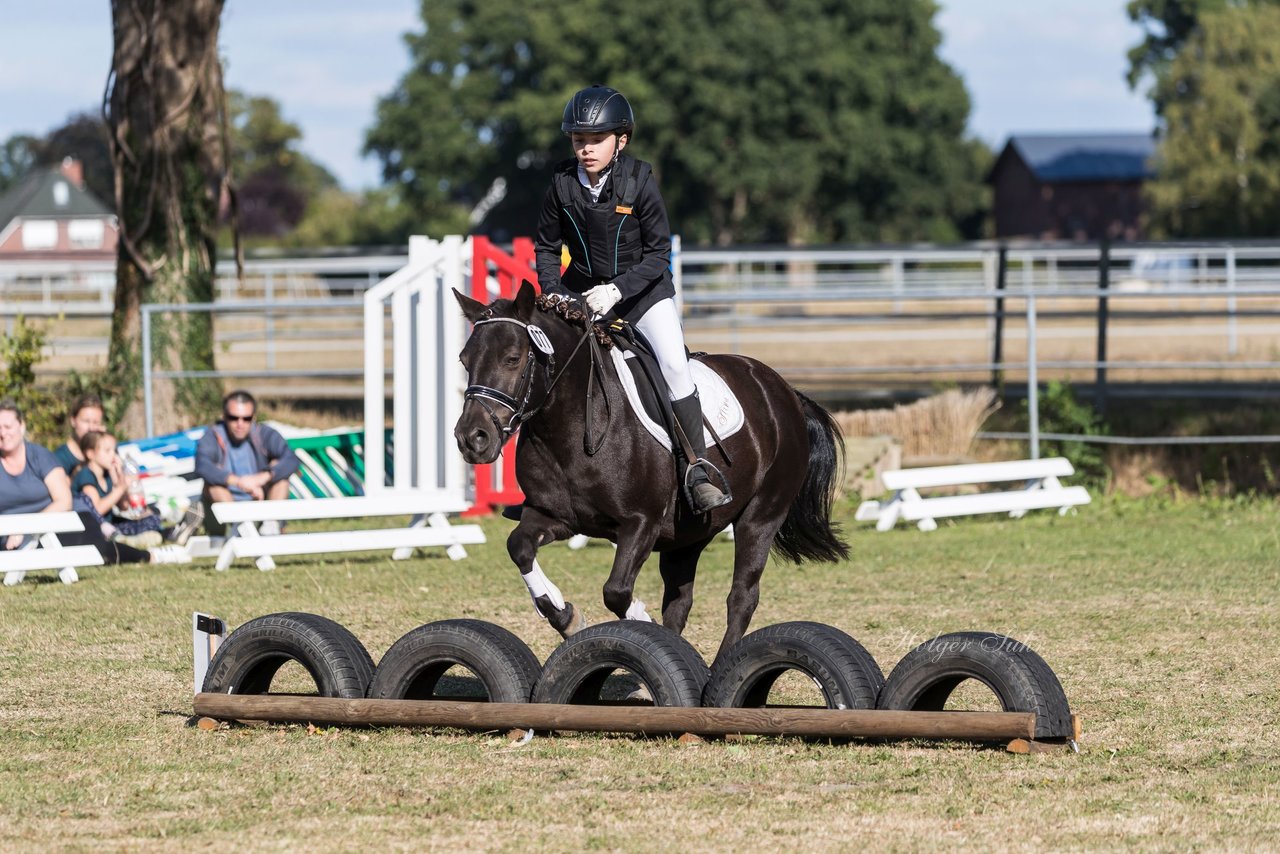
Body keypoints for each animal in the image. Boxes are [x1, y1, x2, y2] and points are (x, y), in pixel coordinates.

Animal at [453, 284, 849, 665]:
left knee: (742, 596)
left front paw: (640, 623)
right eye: (464, 360)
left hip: (761, 516)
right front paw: (565, 615)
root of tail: (782, 389)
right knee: (679, 600)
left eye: (512, 358)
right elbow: (519, 547)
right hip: (688, 535)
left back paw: (721, 667)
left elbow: (616, 591)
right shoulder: (556, 516)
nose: (472, 438)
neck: (571, 425)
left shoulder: (640, 523)